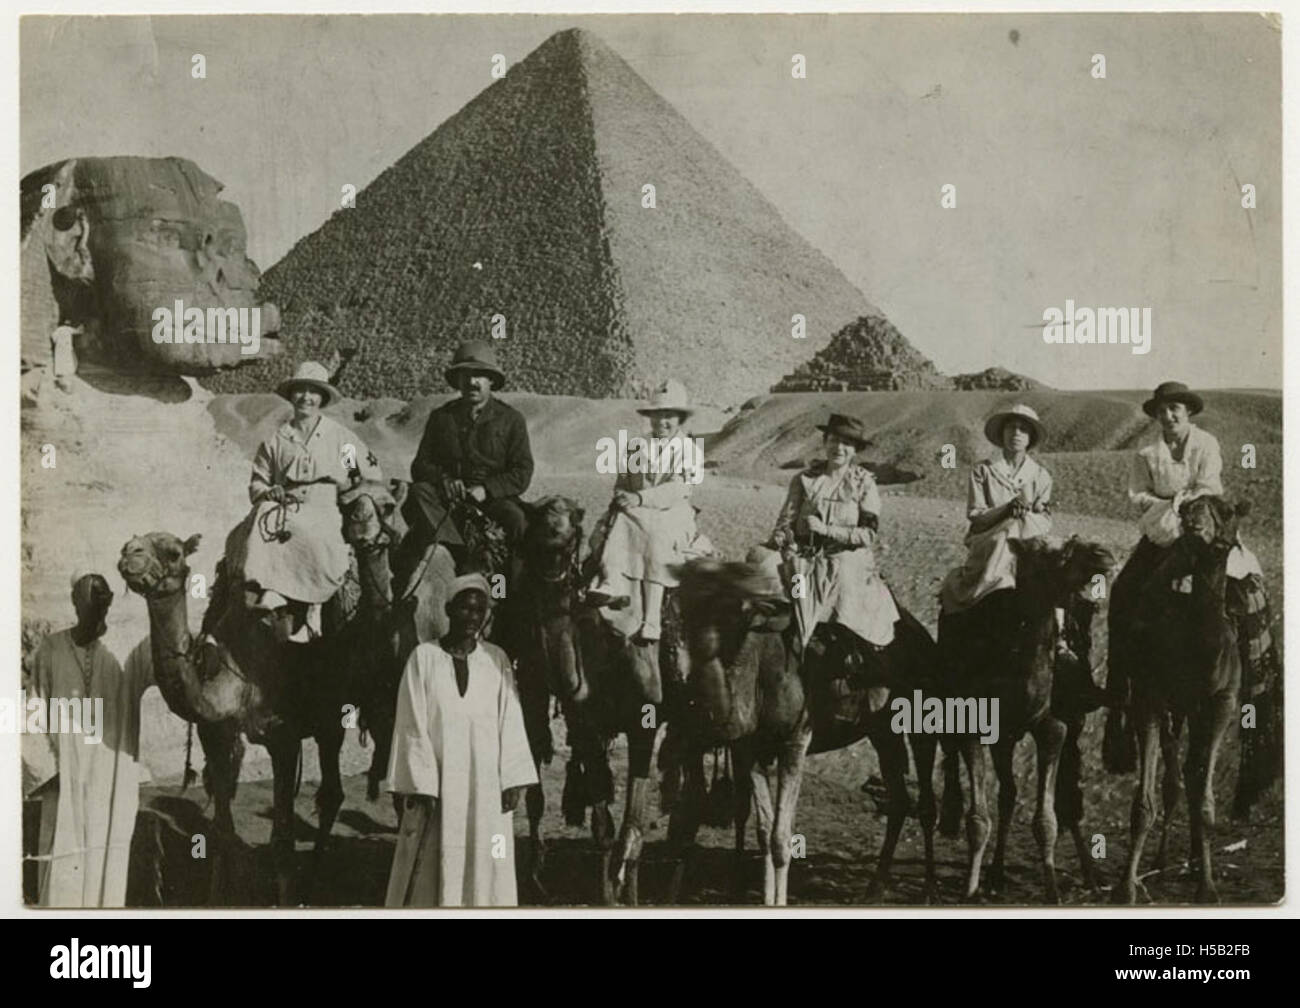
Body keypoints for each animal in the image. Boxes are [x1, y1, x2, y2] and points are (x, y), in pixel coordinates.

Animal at [665, 556, 941, 910]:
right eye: (683, 608)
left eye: (725, 612)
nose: (676, 651)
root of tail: (920, 634)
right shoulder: (751, 748)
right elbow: (764, 830)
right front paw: (763, 896)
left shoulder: (794, 741)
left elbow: (781, 836)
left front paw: (778, 900)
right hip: (882, 729)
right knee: (899, 799)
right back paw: (875, 887)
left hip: (922, 717)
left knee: (926, 802)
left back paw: (929, 889)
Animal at [935, 535, 1118, 905]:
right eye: (1049, 553)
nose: (1102, 554)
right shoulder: (974, 727)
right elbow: (978, 819)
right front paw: (970, 889)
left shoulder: (1053, 728)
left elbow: (1046, 820)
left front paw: (1053, 891)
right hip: (999, 734)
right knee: (1007, 795)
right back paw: (995, 875)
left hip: (1065, 726)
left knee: (1062, 797)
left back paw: (1090, 877)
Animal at [1112, 499, 1242, 905]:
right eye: (1188, 506)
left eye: (1226, 509)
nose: (1192, 519)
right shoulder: (1150, 699)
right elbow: (1144, 804)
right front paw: (1126, 887)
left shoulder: (1222, 704)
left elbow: (1205, 801)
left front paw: (1208, 887)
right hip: (1172, 708)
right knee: (1174, 779)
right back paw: (1164, 860)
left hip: (1196, 713)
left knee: (1192, 775)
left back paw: (1194, 862)